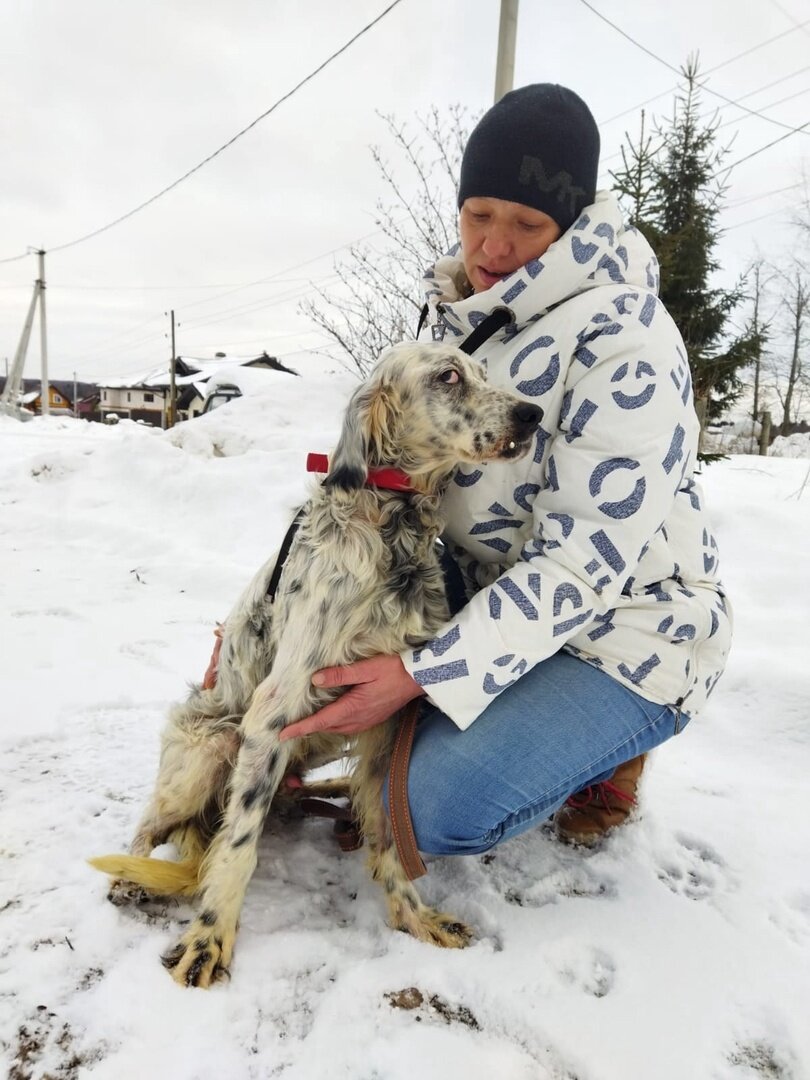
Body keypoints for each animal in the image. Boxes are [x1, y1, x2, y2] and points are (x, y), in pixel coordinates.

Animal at [91, 343, 542, 989]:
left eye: (484, 373)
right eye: (449, 376)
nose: (532, 416)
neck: (391, 533)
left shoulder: (386, 719)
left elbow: (388, 831)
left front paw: (414, 916)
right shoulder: (272, 717)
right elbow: (238, 848)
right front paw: (208, 941)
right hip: (212, 742)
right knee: (151, 822)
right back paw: (129, 873)